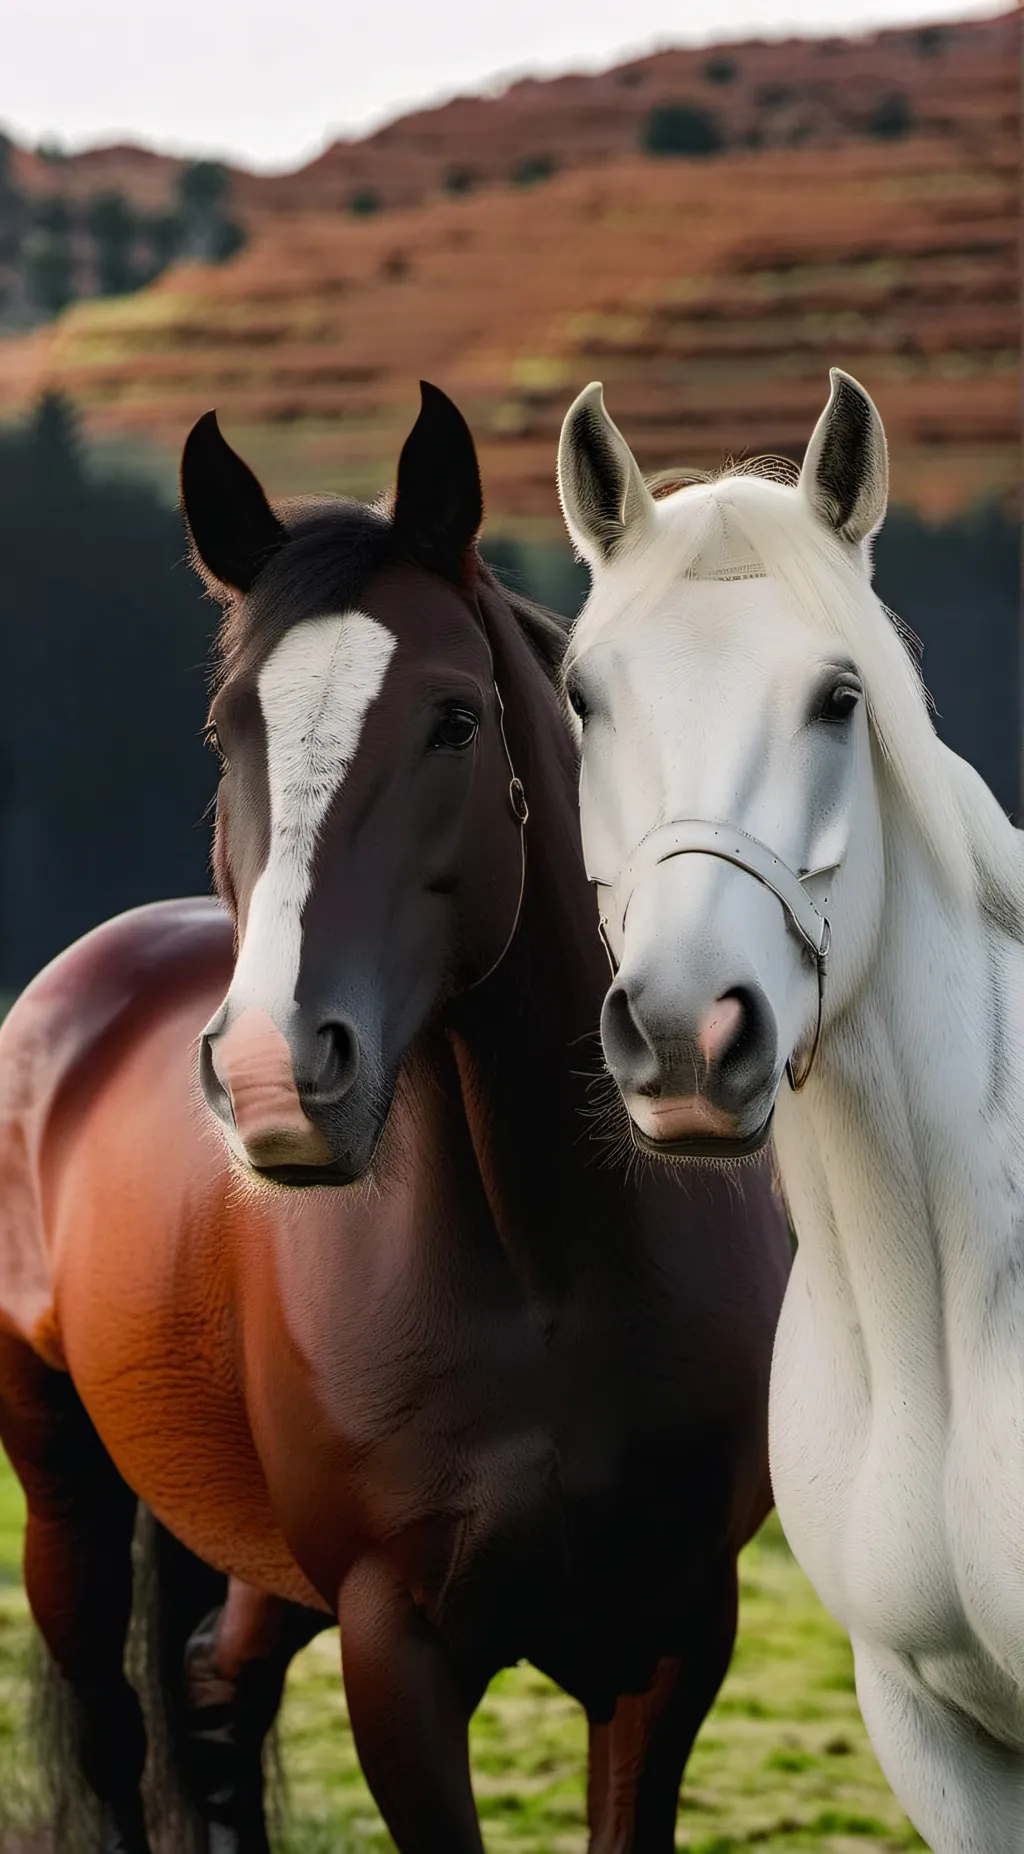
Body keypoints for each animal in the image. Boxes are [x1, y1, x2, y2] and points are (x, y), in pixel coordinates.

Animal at [0, 382, 790, 1854]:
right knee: (118, 1730)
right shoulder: (396, 1650)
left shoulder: (670, 1640)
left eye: (456, 720)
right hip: (63, 1485)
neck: (549, 1276)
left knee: (217, 1709)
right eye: (226, 730)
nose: (274, 1075)